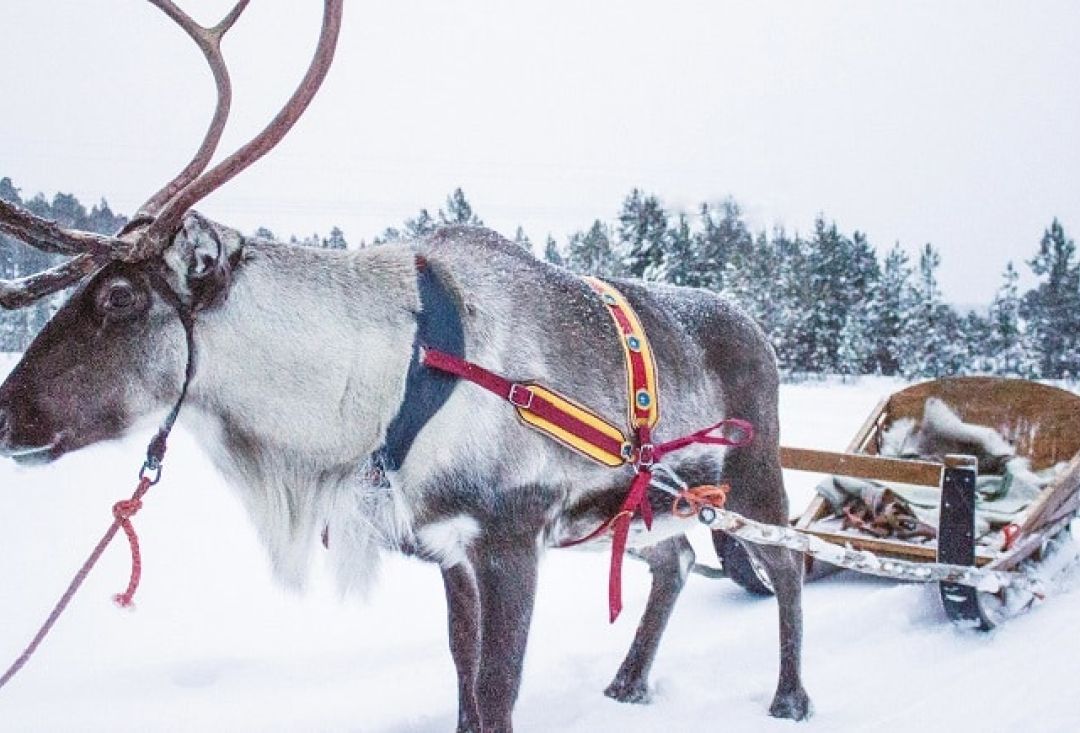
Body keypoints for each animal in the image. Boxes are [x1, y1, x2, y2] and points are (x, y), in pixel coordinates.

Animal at [0, 1, 811, 730]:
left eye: (118, 295)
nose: (6, 414)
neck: (385, 386)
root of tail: (757, 324)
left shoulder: (509, 535)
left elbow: (495, 691)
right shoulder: (448, 546)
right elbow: (462, 678)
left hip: (752, 472)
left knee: (787, 562)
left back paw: (790, 696)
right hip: (648, 503)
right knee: (676, 561)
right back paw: (630, 679)